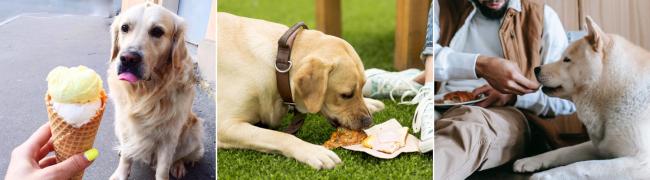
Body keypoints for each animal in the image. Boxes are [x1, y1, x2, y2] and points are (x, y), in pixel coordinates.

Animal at [107, 3, 202, 180]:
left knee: (181, 156)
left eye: (157, 31)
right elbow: (126, 158)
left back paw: (178, 166)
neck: (144, 92)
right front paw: (121, 173)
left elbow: (163, 168)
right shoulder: (125, 125)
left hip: (194, 132)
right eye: (124, 28)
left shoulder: (169, 136)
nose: (128, 58)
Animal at [216, 11, 384, 169]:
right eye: (346, 95)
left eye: (362, 88)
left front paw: (370, 103)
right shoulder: (225, 125)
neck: (278, 64)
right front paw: (314, 151)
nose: (369, 122)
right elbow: (280, 136)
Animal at [512, 16, 648, 179]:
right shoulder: (598, 146)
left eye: (566, 59)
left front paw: (544, 175)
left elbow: (582, 166)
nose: (536, 69)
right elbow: (563, 151)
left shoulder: (641, 161)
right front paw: (530, 160)